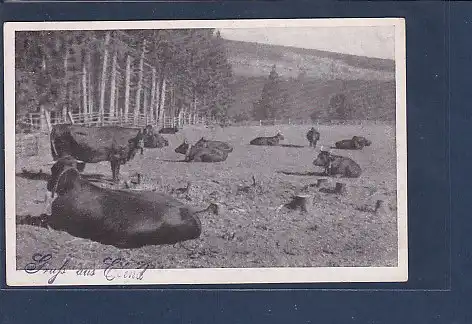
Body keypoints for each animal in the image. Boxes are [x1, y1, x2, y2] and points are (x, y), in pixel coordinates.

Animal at [20, 156, 216, 249]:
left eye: (53, 170)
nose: (48, 184)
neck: (72, 185)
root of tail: (191, 212)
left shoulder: (56, 220)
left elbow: (40, 218)